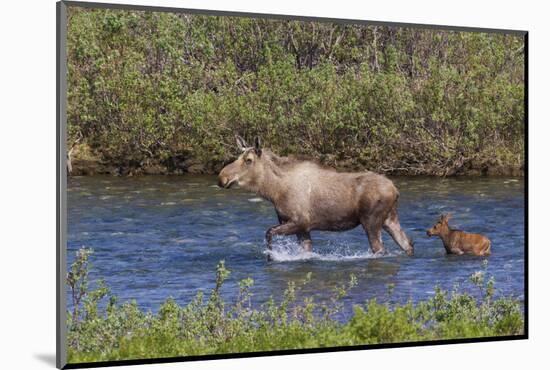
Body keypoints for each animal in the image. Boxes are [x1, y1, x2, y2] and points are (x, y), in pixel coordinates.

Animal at [218, 135, 416, 258]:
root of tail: (395, 190)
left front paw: (272, 256)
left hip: (371, 221)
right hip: (389, 219)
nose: (222, 178)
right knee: (408, 244)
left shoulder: (300, 221)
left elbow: (268, 233)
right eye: (238, 157)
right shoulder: (302, 228)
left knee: (380, 249)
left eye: (248, 160)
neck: (273, 192)